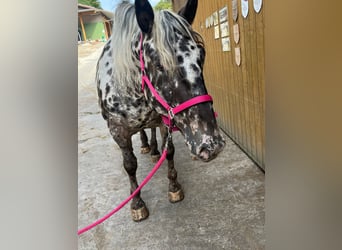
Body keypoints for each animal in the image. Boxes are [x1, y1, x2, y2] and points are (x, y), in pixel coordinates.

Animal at [95, 0, 226, 221]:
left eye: (201, 56)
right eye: (158, 64)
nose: (211, 144)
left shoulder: (165, 120)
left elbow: (170, 152)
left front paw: (174, 188)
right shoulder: (118, 131)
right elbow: (130, 165)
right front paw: (136, 203)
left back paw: (154, 150)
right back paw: (146, 146)